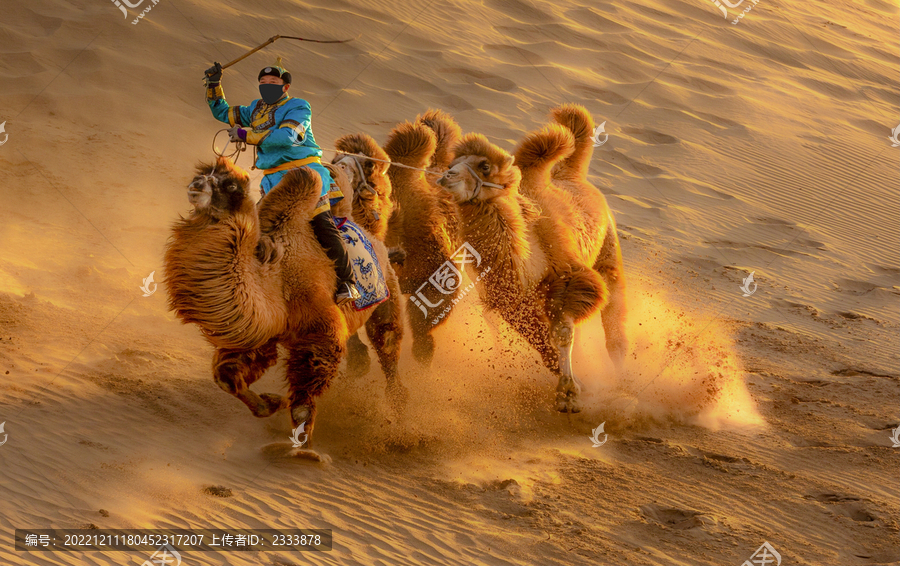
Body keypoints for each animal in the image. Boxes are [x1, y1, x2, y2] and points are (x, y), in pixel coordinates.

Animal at [166, 158, 408, 460]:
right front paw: (273, 402)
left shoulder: (322, 338)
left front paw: (304, 453)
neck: (277, 281)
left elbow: (303, 404)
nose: (196, 185)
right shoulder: (265, 335)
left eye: (230, 185)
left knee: (388, 345)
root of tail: (377, 242)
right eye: (202, 174)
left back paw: (398, 416)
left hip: (388, 296)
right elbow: (226, 376)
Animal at [440, 105, 628, 412]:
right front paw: (571, 389)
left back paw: (623, 380)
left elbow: (561, 332)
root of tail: (575, 177)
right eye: (452, 162)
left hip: (609, 251)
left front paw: (570, 393)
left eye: (484, 166)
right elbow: (541, 340)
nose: (447, 176)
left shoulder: (568, 280)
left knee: (614, 317)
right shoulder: (512, 300)